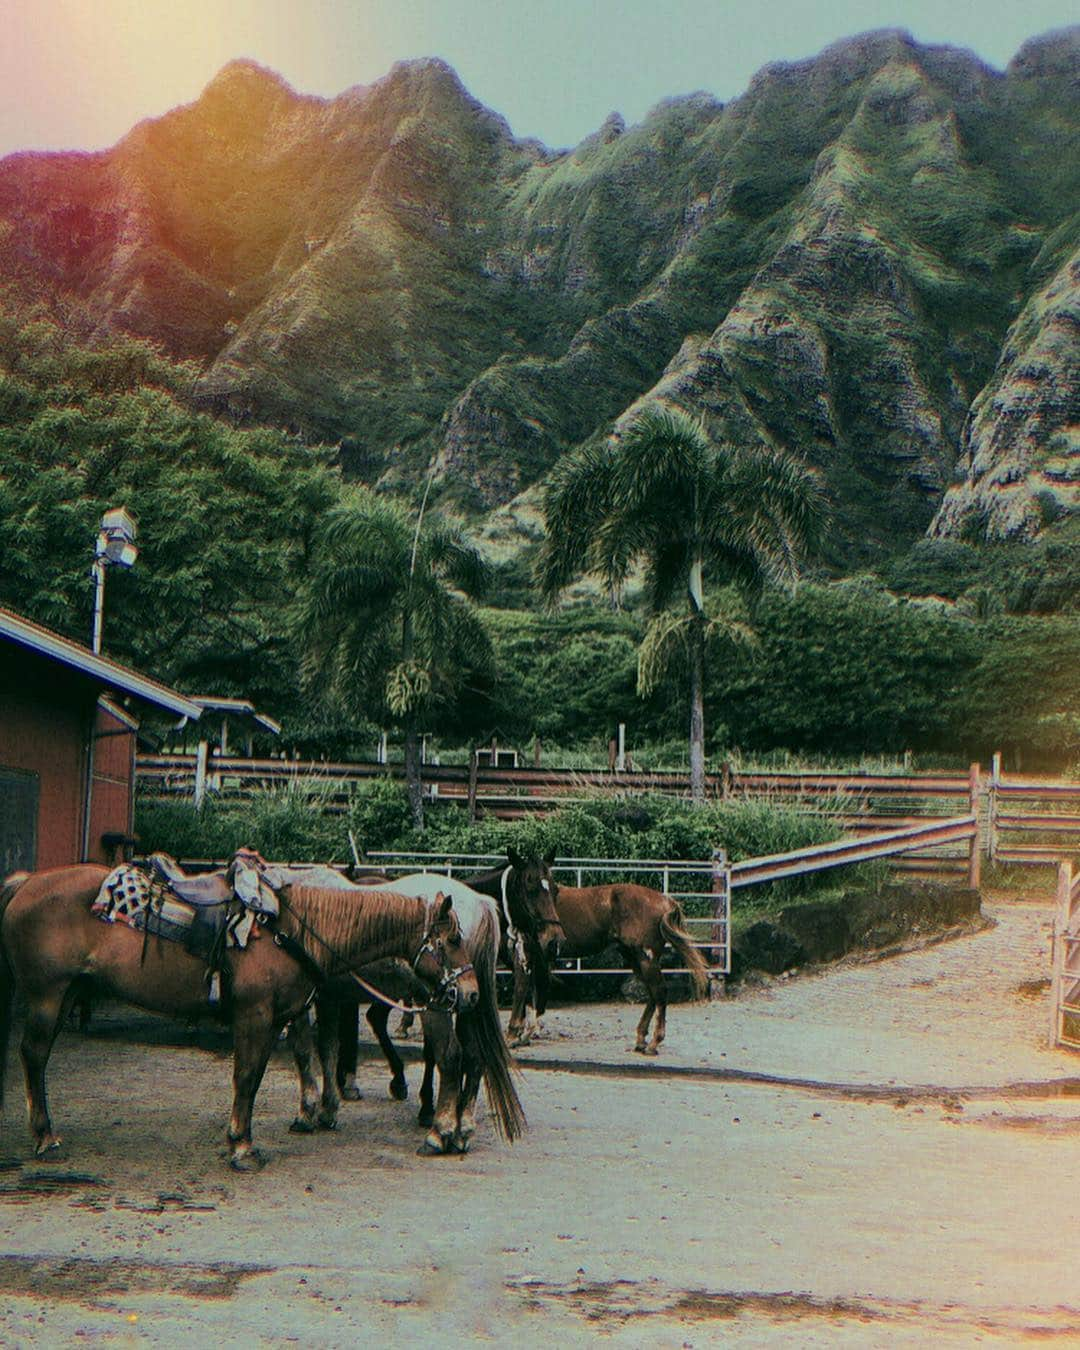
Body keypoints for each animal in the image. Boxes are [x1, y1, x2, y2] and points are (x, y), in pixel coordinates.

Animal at [0, 864, 477, 1171]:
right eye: (453, 938)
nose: (470, 992)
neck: (292, 930)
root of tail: (26, 883)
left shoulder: (279, 1018)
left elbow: (262, 1073)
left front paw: (245, 1136)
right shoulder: (255, 1015)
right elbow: (247, 1076)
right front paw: (243, 1147)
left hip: (66, 995)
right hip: (47, 996)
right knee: (33, 1057)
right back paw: (45, 1137)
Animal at [518, 880, 712, 1058]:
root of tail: (665, 900)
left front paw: (525, 1035)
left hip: (645, 958)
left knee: (660, 991)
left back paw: (653, 1044)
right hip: (634, 958)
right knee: (653, 993)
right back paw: (641, 1040)